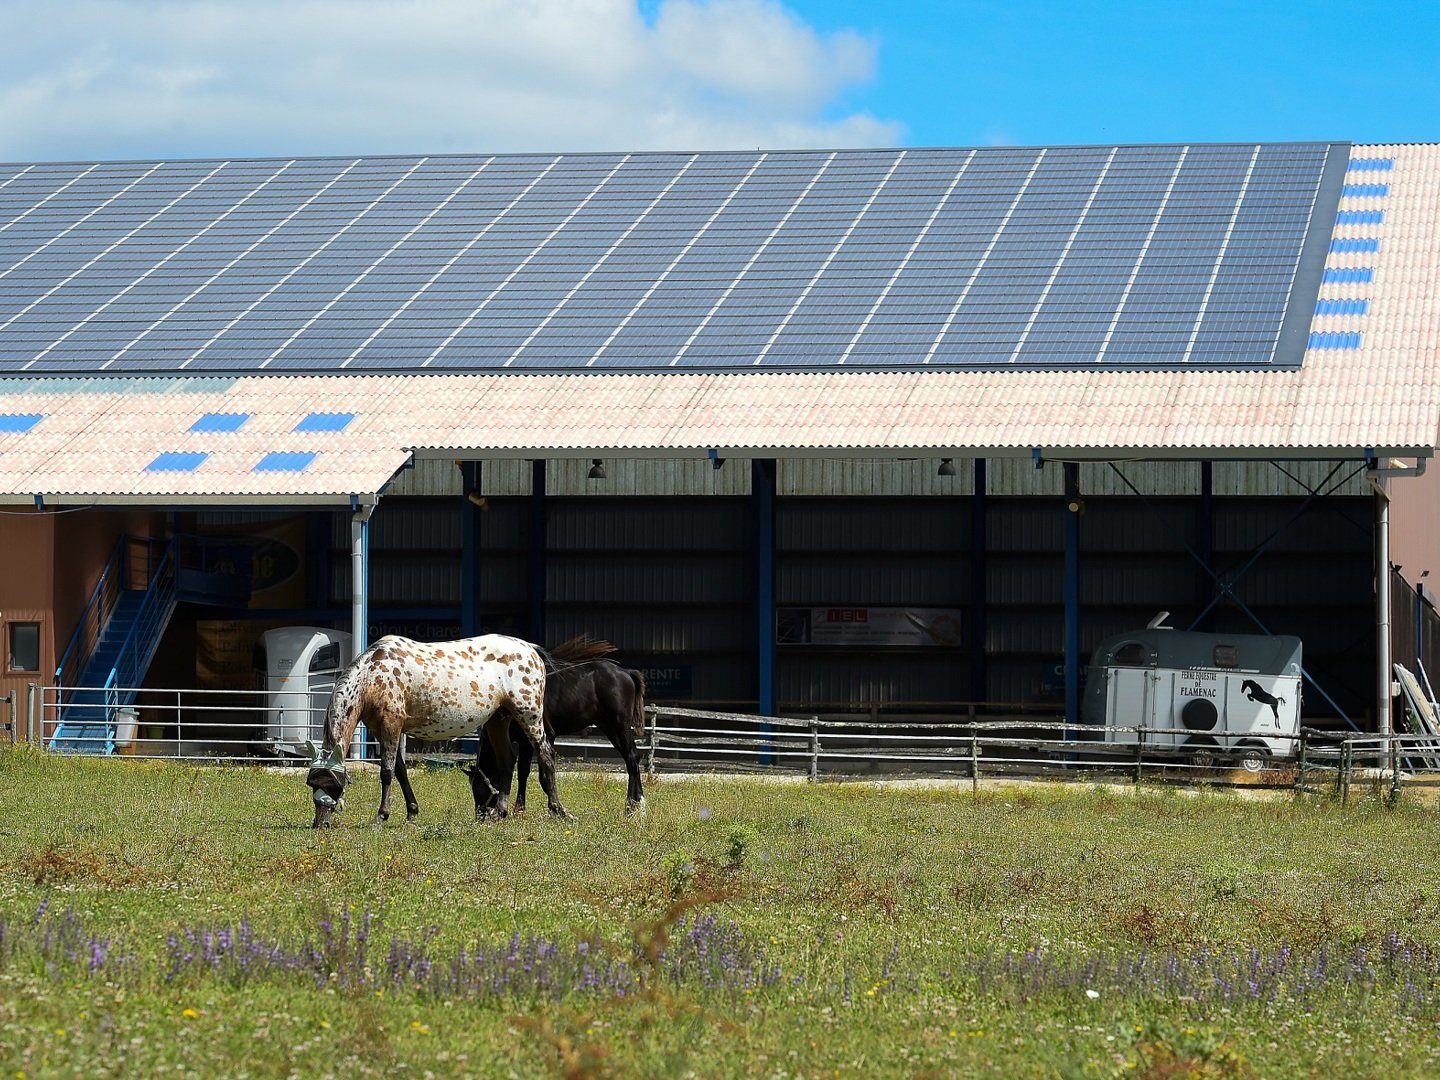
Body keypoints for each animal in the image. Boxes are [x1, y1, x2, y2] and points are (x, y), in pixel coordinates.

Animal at [305, 633, 567, 829]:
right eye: (312, 784)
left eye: (333, 785)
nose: (320, 823)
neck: (373, 673)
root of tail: (531, 649)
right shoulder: (380, 729)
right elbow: (400, 770)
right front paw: (411, 813)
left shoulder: (391, 724)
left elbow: (387, 772)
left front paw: (381, 816)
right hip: (497, 720)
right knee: (506, 760)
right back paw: (499, 811)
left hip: (529, 715)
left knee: (545, 755)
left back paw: (557, 809)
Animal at [460, 633, 648, 817]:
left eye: (477, 787)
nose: (480, 815)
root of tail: (626, 672)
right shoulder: (525, 743)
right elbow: (523, 772)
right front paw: (520, 809)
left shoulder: (544, 736)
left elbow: (543, 775)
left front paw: (553, 809)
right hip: (609, 727)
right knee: (630, 760)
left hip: (619, 726)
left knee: (632, 759)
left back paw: (635, 806)